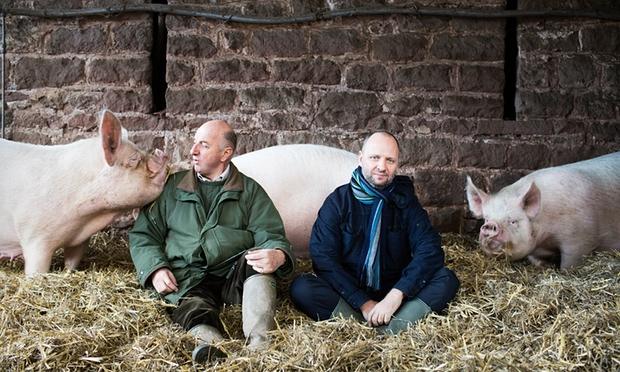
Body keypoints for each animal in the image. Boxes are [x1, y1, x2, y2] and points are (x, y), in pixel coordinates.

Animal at [0, 109, 170, 274]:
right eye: (134, 159)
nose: (163, 155)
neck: (84, 218)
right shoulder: (35, 237)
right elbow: (36, 271)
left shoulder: (79, 241)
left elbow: (72, 263)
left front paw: (68, 273)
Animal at [464, 150, 620, 268]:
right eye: (486, 218)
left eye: (513, 221)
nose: (490, 226)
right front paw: (545, 267)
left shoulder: (580, 239)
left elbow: (569, 263)